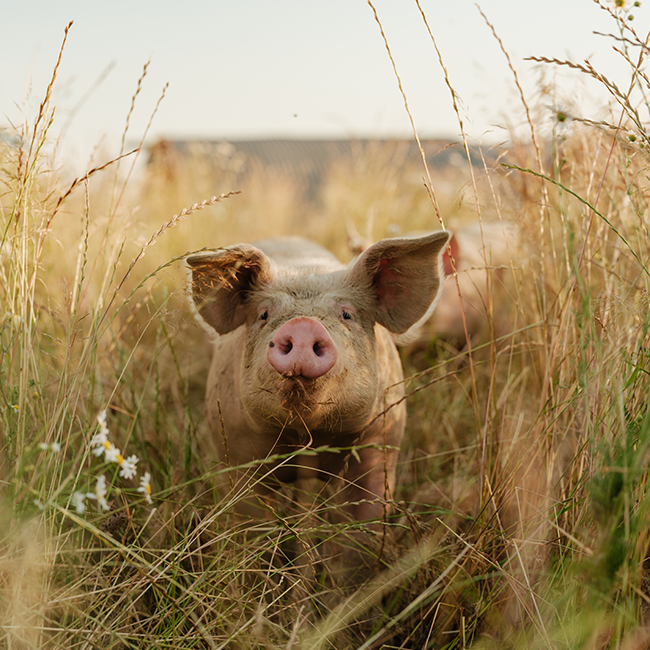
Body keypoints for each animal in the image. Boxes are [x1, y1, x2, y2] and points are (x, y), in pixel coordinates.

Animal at [186, 231, 450, 522]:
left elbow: (366, 508)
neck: (308, 439)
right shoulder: (235, 444)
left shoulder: (381, 437)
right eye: (264, 314)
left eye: (346, 314)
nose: (303, 324)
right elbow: (250, 512)